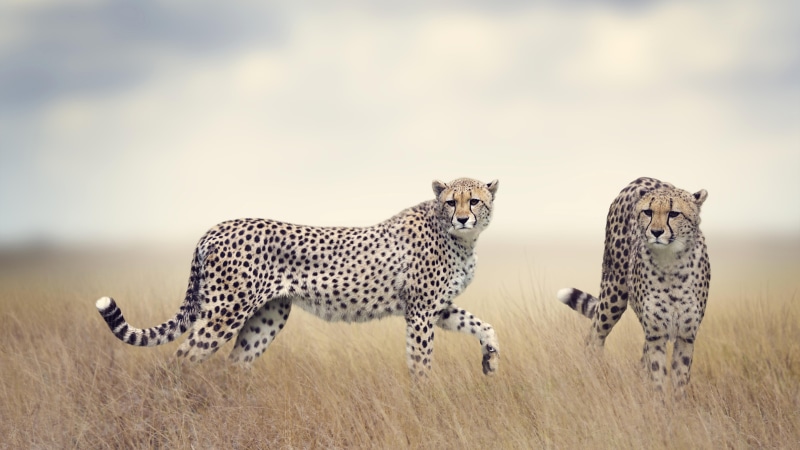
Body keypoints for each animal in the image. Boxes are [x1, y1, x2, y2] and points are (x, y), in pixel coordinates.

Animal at [95, 177, 500, 379]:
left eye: (474, 201)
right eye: (451, 202)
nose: (463, 217)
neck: (460, 239)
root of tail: (216, 227)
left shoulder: (438, 308)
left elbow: (484, 326)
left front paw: (490, 361)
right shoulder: (420, 311)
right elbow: (421, 361)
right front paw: (422, 397)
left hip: (269, 314)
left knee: (236, 362)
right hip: (225, 313)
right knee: (180, 359)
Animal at [557, 177, 710, 398]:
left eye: (674, 213)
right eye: (648, 212)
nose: (656, 232)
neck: (671, 262)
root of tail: (641, 179)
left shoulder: (685, 336)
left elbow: (679, 381)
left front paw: (677, 404)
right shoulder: (655, 334)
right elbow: (657, 376)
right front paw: (659, 404)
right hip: (613, 296)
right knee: (594, 336)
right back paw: (591, 376)